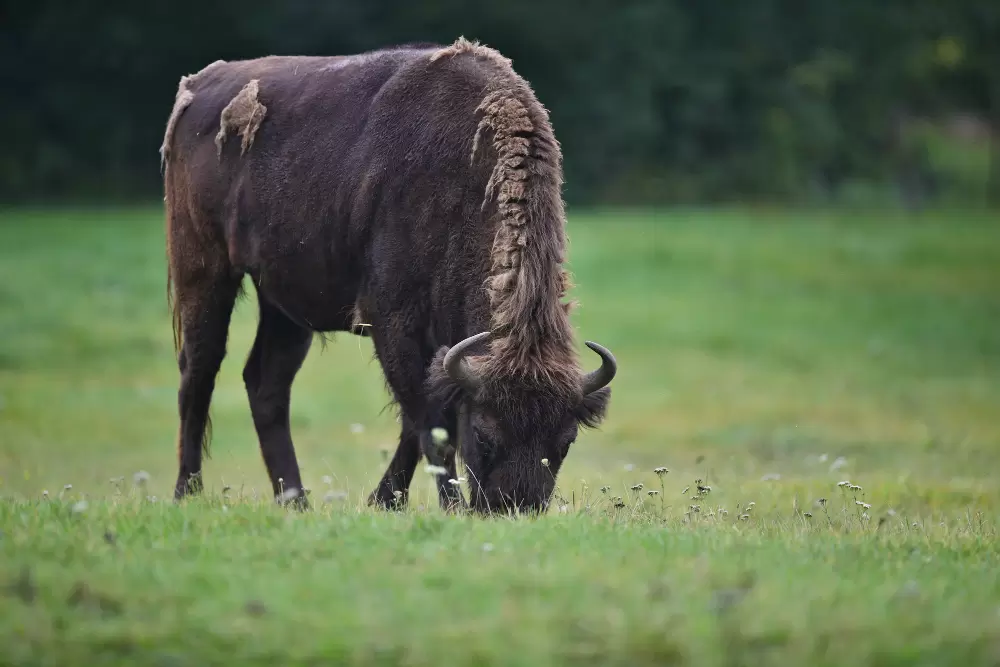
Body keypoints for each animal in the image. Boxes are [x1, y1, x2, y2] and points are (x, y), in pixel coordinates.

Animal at [159, 36, 616, 516]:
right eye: (484, 435)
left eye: (565, 442)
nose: (514, 507)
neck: (463, 178)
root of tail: (199, 87)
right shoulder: (394, 323)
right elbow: (431, 425)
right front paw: (444, 506)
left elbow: (417, 425)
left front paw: (384, 501)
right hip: (204, 270)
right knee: (198, 373)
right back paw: (187, 492)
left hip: (284, 303)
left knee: (266, 383)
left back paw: (296, 501)